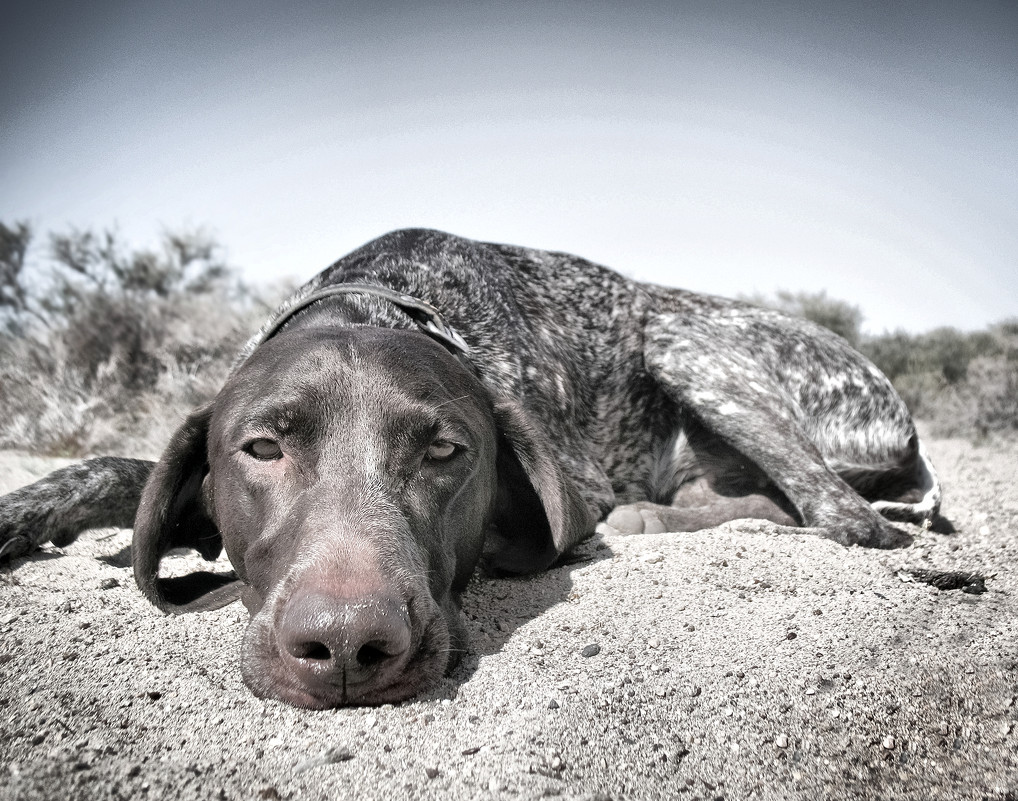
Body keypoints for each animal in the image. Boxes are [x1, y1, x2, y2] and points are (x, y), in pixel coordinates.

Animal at [0, 230, 936, 708]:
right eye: (263, 448)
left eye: (445, 450)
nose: (347, 647)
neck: (381, 294)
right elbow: (110, 469)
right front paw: (25, 512)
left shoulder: (569, 488)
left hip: (685, 338)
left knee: (841, 515)